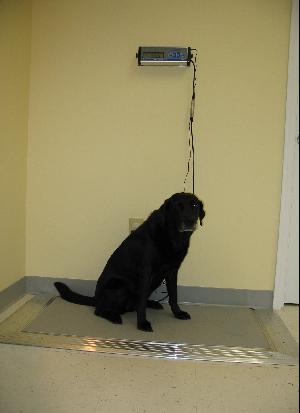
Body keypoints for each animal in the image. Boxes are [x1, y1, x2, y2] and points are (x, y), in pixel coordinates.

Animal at [54, 192, 204, 330]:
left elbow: (173, 296)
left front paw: (178, 313)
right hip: (120, 287)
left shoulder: (172, 272)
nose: (190, 221)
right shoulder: (145, 273)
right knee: (100, 311)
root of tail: (96, 298)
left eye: (194, 205)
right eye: (178, 207)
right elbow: (142, 303)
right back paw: (113, 316)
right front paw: (142, 323)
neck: (174, 237)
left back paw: (152, 303)